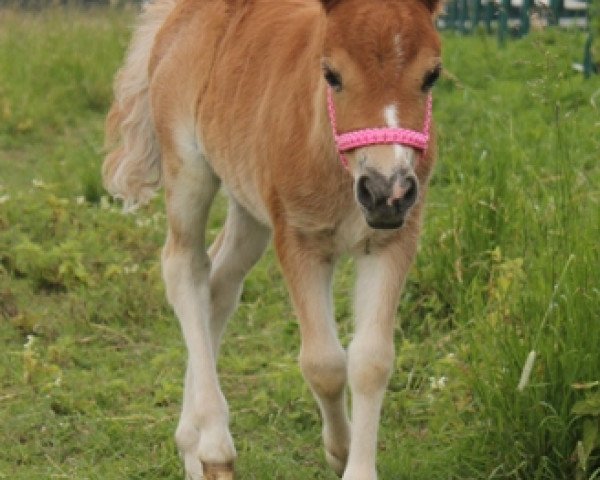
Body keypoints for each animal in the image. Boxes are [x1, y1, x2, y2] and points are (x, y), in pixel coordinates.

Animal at [103, 1, 440, 478]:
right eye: (331, 74)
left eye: (431, 75)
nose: (385, 190)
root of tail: (177, 12)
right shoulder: (298, 239)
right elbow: (324, 363)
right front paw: (339, 448)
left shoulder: (393, 239)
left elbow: (371, 361)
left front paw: (355, 463)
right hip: (187, 166)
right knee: (184, 267)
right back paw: (214, 447)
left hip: (248, 202)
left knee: (219, 283)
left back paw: (191, 444)